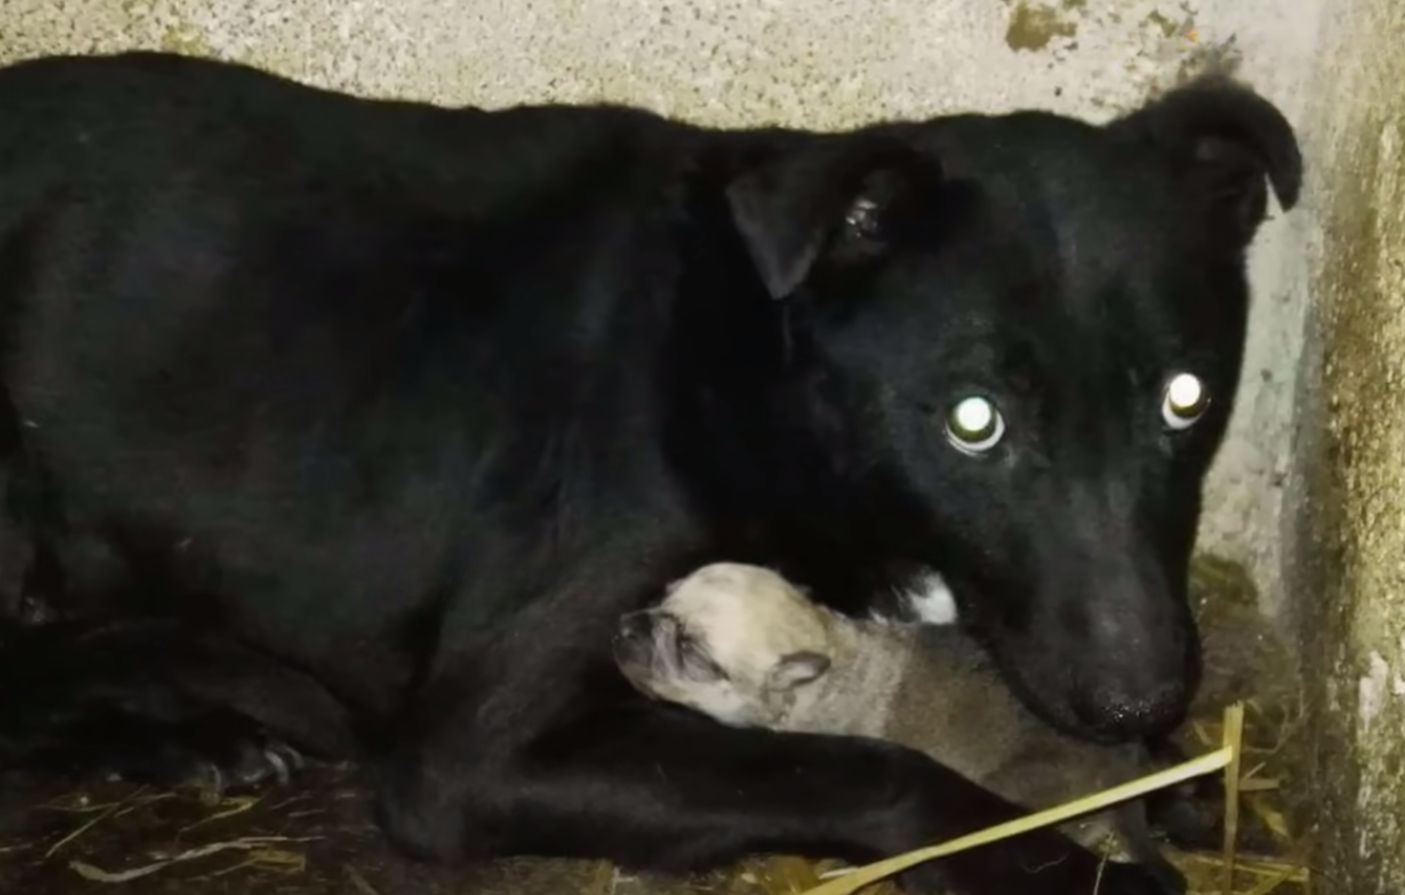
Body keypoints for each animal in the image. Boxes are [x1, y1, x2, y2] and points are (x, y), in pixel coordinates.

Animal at [0, 50, 1292, 893]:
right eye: (974, 421)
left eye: (1186, 398)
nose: (1137, 697)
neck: (762, 381)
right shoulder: (472, 754)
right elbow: (868, 772)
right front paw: (1068, 862)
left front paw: (1169, 778)